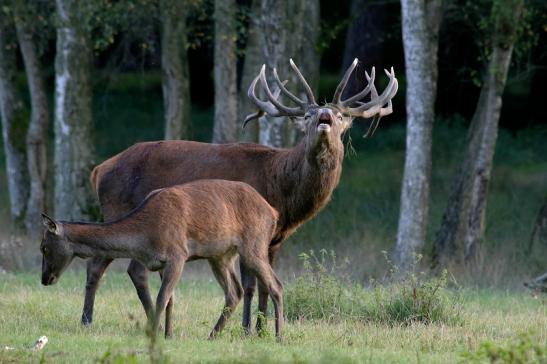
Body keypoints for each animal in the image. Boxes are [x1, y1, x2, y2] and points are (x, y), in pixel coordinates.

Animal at [40, 179, 284, 338]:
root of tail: (273, 212)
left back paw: (279, 336)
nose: (44, 279)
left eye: (44, 247)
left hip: (254, 245)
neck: (146, 237)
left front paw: (155, 335)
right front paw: (169, 334)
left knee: (276, 285)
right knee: (235, 292)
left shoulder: (178, 254)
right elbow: (170, 299)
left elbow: (161, 297)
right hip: (221, 255)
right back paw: (212, 335)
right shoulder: (158, 263)